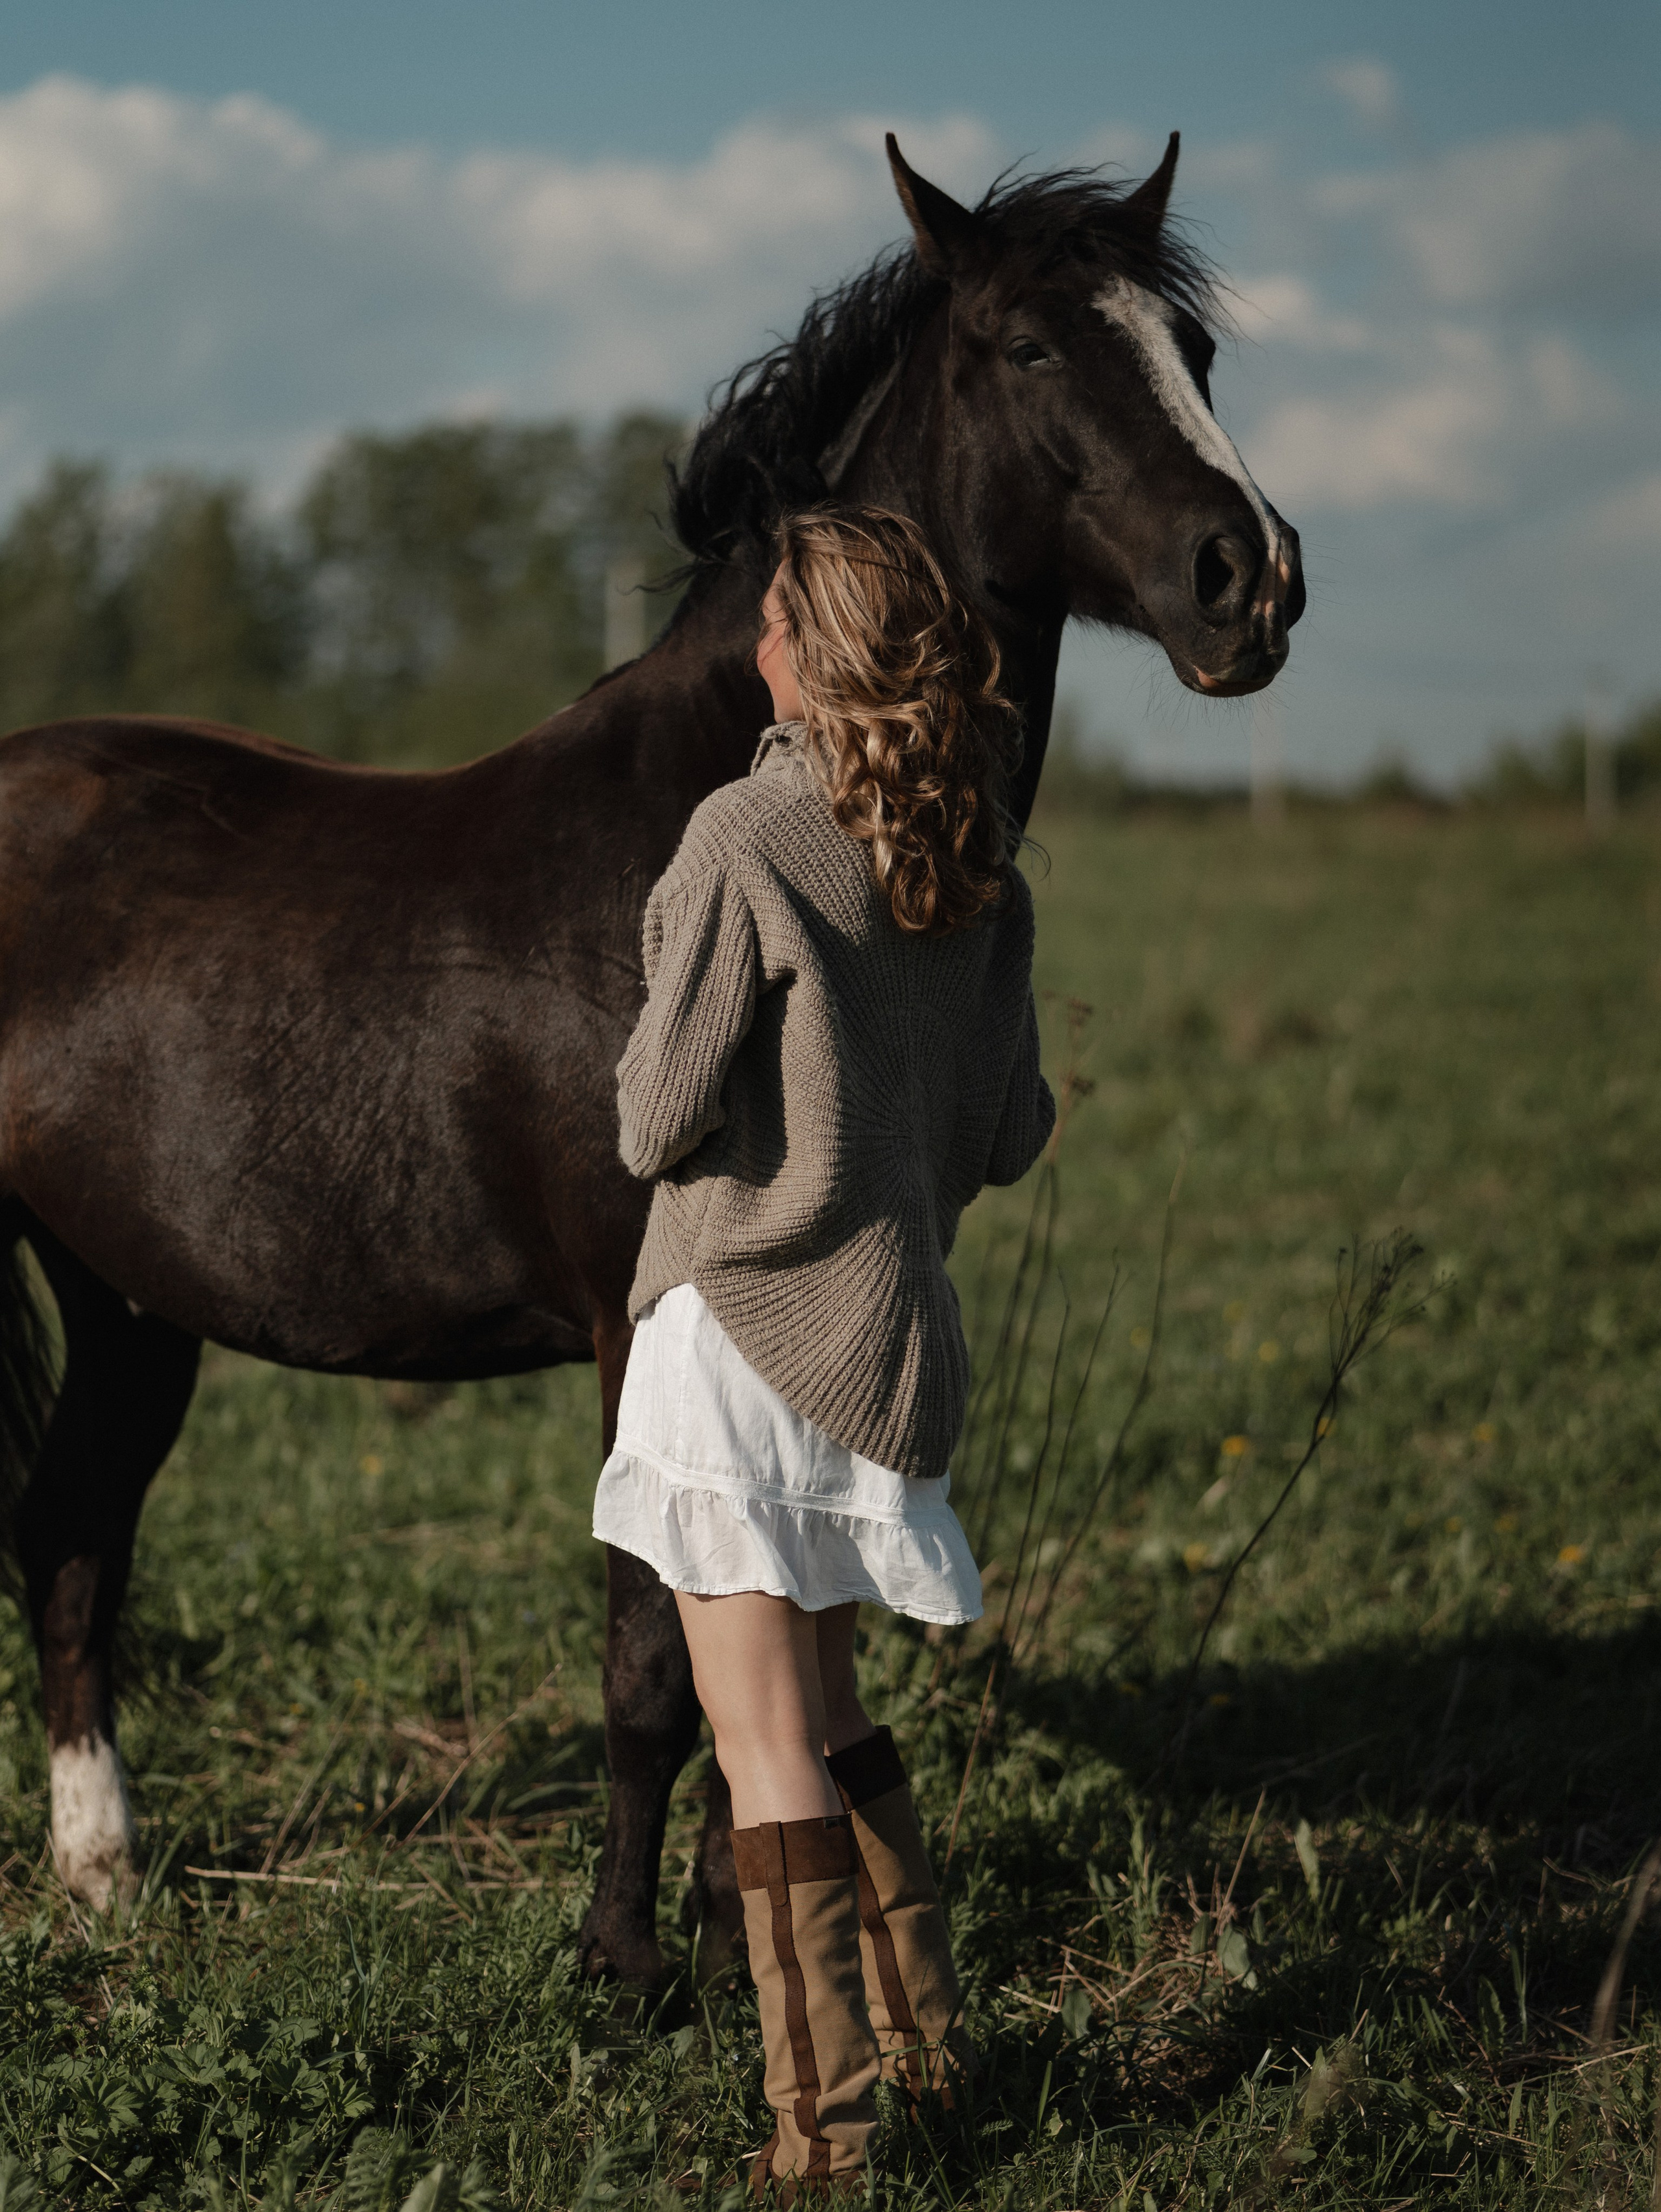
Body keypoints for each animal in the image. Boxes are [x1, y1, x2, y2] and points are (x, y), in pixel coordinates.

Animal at [0, 133, 1302, 1985]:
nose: (1245, 578)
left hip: (127, 1300)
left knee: (68, 1540)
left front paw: (743, 1923)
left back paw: (102, 1871)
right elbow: (648, 1663)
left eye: (1190, 354)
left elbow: (765, 1624)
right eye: (1031, 347)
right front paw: (620, 1962)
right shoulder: (641, 1328)